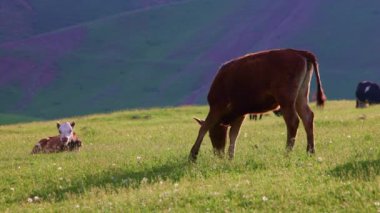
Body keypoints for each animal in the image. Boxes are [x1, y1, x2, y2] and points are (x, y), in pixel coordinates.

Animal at [190, 48, 326, 161]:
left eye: (212, 134)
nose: (218, 154)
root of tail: (301, 52)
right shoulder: (240, 113)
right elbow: (233, 134)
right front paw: (230, 157)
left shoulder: (217, 107)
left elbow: (204, 128)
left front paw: (192, 155)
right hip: (300, 97)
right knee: (307, 117)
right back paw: (310, 151)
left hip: (286, 101)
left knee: (293, 121)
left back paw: (287, 153)